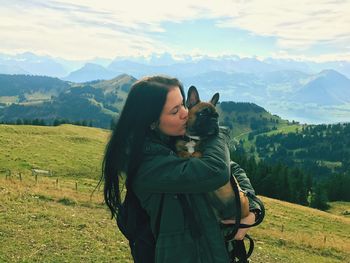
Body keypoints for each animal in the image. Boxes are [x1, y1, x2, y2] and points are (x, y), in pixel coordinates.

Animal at [176, 86, 250, 221]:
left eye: (216, 116)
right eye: (202, 114)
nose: (214, 120)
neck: (193, 138)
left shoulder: (201, 153)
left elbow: (196, 154)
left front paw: (190, 155)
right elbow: (181, 151)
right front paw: (183, 154)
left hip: (240, 201)